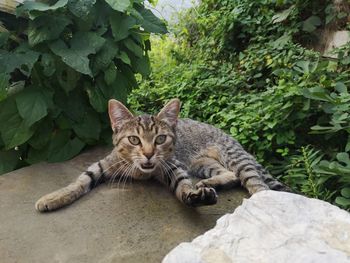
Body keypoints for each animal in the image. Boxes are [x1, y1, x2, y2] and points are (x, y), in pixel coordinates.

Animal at [34, 99, 290, 212]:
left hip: (235, 158)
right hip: (203, 164)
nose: (148, 154)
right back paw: (210, 182)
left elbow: (182, 185)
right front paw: (54, 197)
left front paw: (192, 195)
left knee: (257, 185)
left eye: (160, 139)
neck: (141, 172)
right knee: (230, 175)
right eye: (134, 140)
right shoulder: (105, 163)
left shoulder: (172, 166)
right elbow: (80, 181)